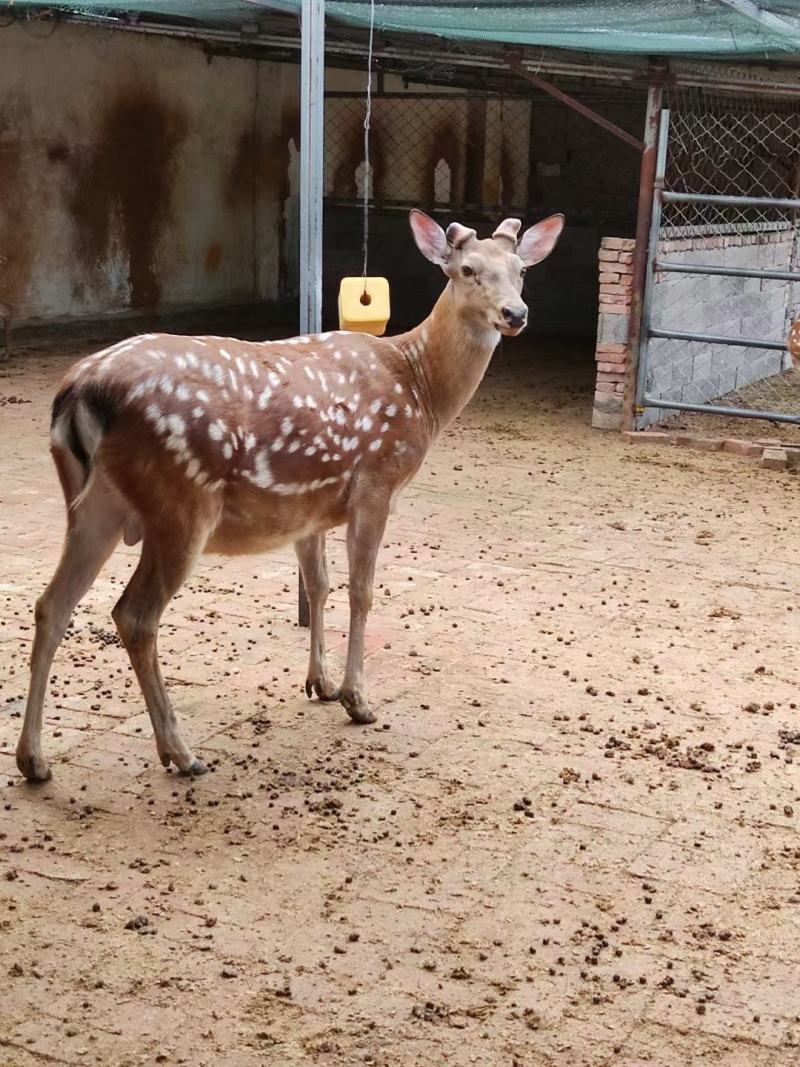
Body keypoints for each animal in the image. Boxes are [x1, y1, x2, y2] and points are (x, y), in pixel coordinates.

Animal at [14, 210, 563, 785]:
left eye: (521, 270)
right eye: (467, 269)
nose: (516, 313)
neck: (418, 387)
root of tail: (80, 392)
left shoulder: (311, 506)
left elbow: (318, 585)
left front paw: (319, 684)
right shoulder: (376, 482)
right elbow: (362, 591)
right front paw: (357, 700)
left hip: (92, 507)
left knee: (52, 604)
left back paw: (35, 760)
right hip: (180, 501)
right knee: (134, 616)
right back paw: (181, 753)